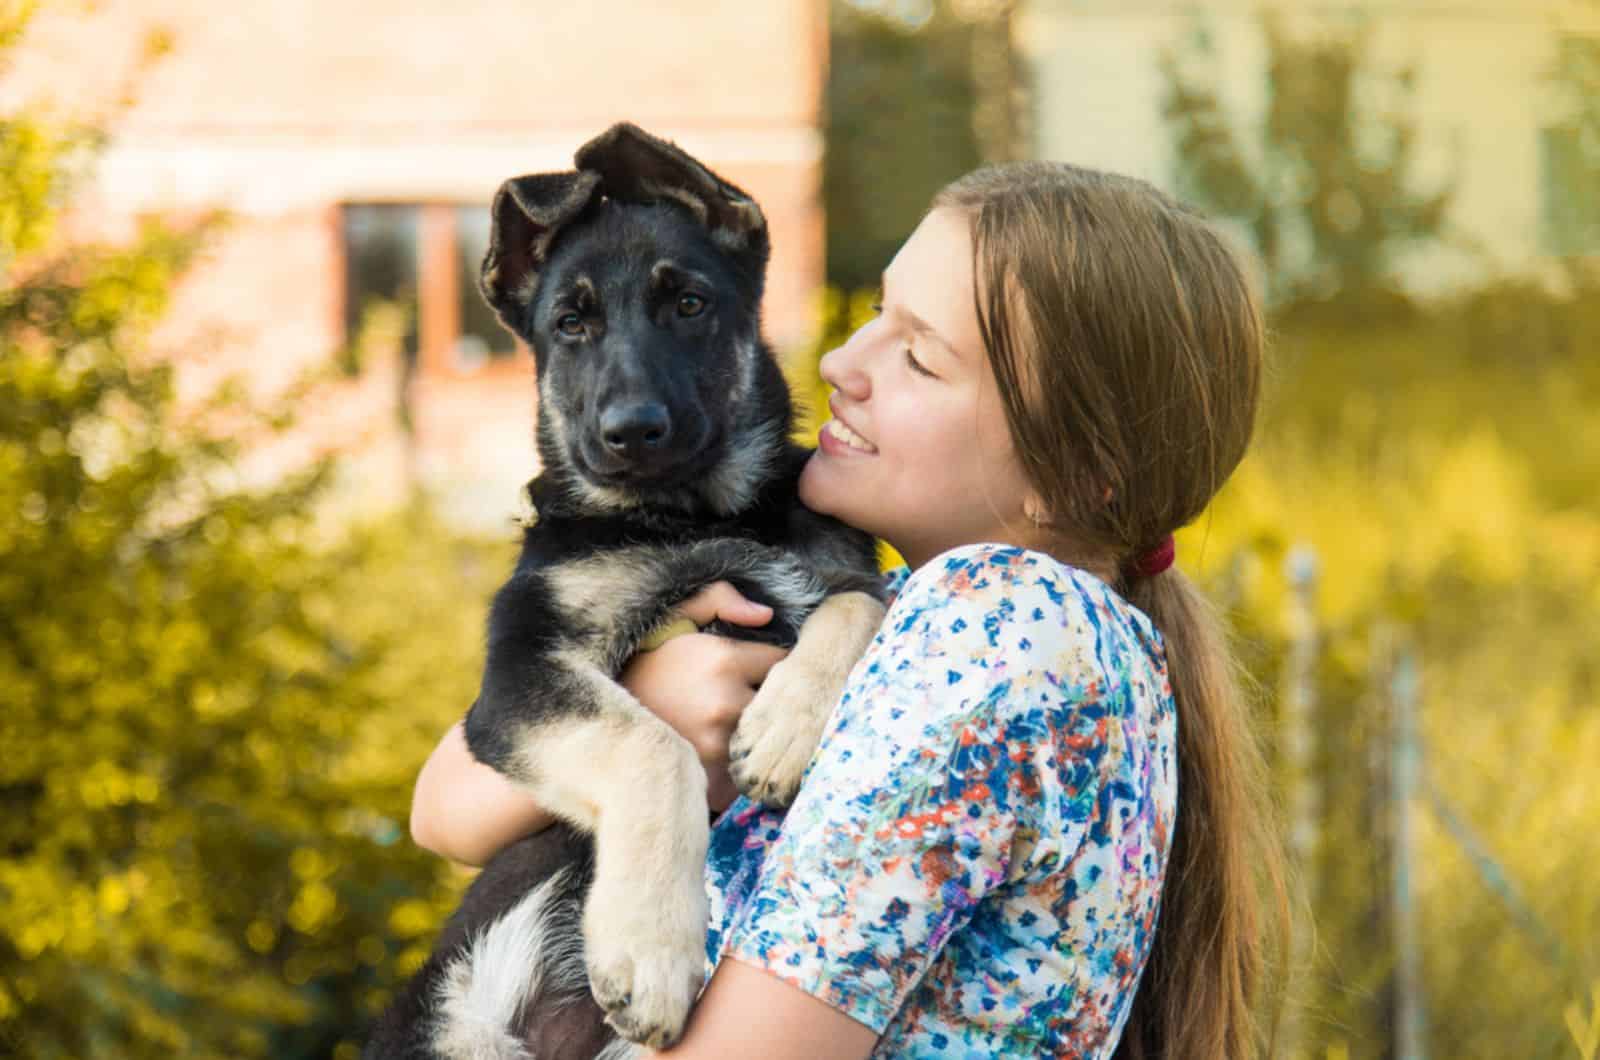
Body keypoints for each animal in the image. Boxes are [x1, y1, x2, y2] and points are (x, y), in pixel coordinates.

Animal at [363, 126, 883, 1060]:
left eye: (689, 305)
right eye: (571, 326)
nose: (631, 432)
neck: (694, 516)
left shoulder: (844, 569)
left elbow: (859, 601)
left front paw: (784, 731)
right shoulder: (517, 678)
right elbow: (654, 744)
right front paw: (650, 950)